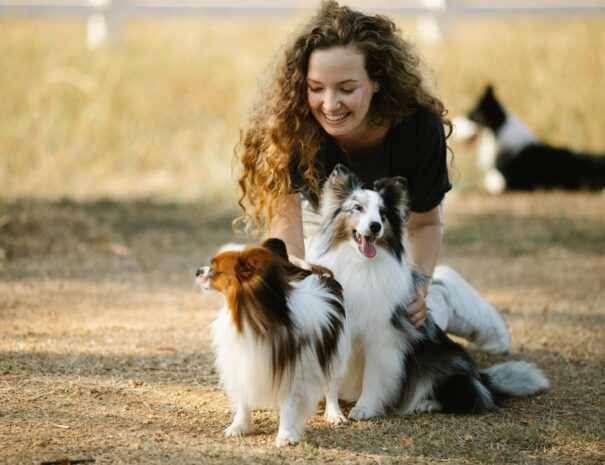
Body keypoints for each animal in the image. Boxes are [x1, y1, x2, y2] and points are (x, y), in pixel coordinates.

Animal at [196, 239, 350, 446]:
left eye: (213, 270)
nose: (198, 271)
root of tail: (319, 270)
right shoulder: (241, 363)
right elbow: (243, 399)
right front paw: (239, 426)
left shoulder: (296, 371)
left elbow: (290, 405)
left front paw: (285, 435)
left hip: (337, 353)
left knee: (331, 386)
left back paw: (334, 413)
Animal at [306, 165, 548, 418]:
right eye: (358, 208)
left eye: (382, 214)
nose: (375, 226)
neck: (359, 263)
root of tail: (482, 378)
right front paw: (333, 412)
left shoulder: (382, 337)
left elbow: (374, 377)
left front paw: (364, 409)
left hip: (444, 367)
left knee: (467, 397)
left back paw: (425, 403)